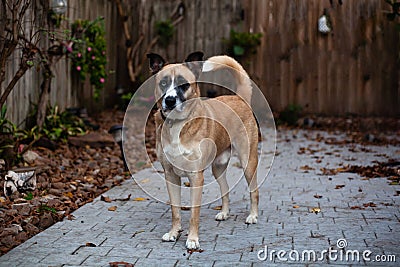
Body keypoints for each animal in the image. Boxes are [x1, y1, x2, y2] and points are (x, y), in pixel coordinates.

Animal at [147, 52, 260, 251]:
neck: (178, 125)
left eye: (183, 84)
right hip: (218, 167)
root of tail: (239, 98)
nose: (169, 100)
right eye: (163, 83)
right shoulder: (170, 176)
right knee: (225, 189)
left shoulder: (196, 177)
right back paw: (224, 213)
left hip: (248, 161)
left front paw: (192, 239)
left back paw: (253, 216)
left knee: (254, 191)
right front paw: (174, 233)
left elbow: (194, 213)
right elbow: (175, 210)